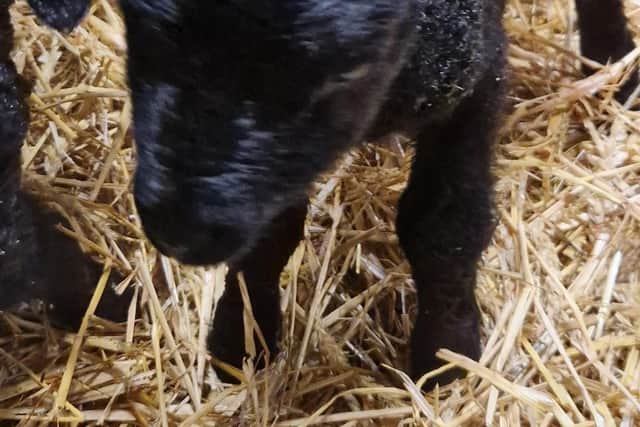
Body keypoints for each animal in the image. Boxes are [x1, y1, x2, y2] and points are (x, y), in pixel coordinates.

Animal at [3, 0, 637, 389]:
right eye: (142, 34)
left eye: (340, 67)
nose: (179, 232)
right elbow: (270, 237)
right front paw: (242, 341)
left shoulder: (476, 73)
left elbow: (445, 223)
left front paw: (446, 356)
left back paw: (613, 62)